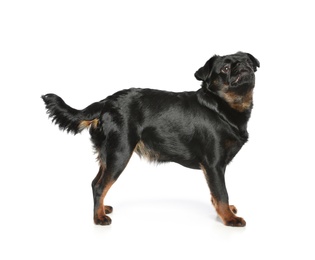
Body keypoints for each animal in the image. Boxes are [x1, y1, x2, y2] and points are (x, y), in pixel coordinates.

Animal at [41, 51, 260, 226]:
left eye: (248, 62)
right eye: (225, 68)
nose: (244, 65)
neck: (222, 107)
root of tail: (106, 103)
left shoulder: (214, 168)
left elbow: (216, 195)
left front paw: (225, 212)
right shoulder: (214, 165)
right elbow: (221, 193)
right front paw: (229, 218)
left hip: (108, 154)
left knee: (95, 182)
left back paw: (102, 209)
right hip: (120, 153)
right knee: (99, 186)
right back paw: (99, 218)